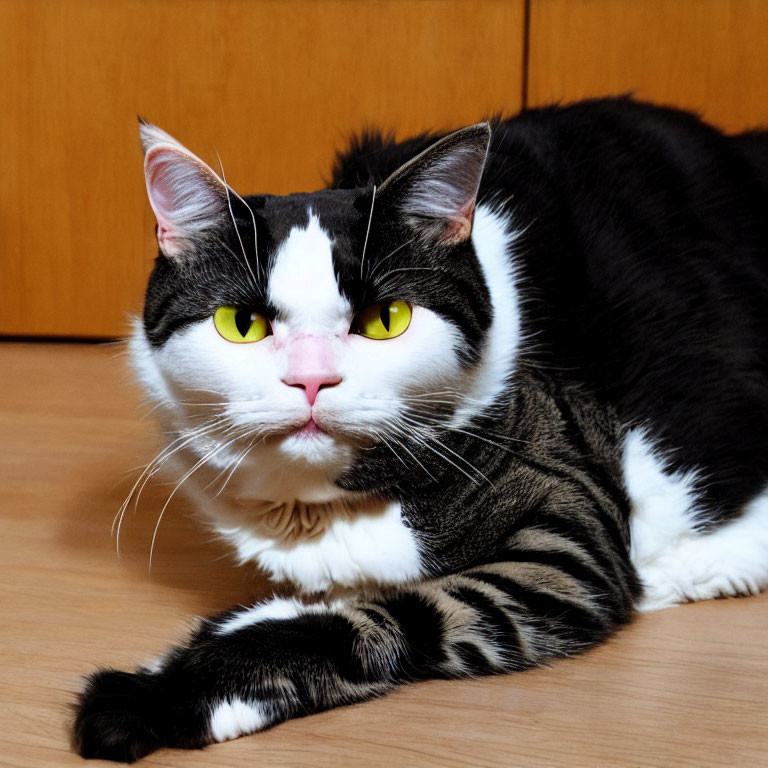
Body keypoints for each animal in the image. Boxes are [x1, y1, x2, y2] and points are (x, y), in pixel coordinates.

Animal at [72, 97, 768, 760]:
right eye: (241, 324)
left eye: (387, 319)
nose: (312, 380)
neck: (320, 515)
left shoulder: (568, 531)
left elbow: (391, 616)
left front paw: (154, 695)